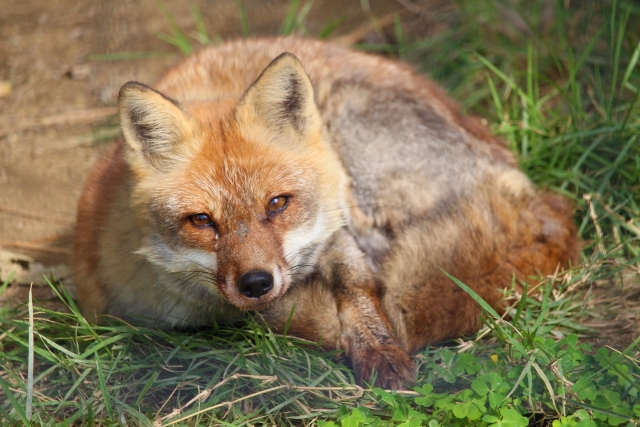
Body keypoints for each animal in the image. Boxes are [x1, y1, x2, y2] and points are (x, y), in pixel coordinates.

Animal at [71, 37, 580, 392]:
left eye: (277, 204)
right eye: (202, 221)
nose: (256, 283)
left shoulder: (334, 230)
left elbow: (357, 288)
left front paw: (378, 348)